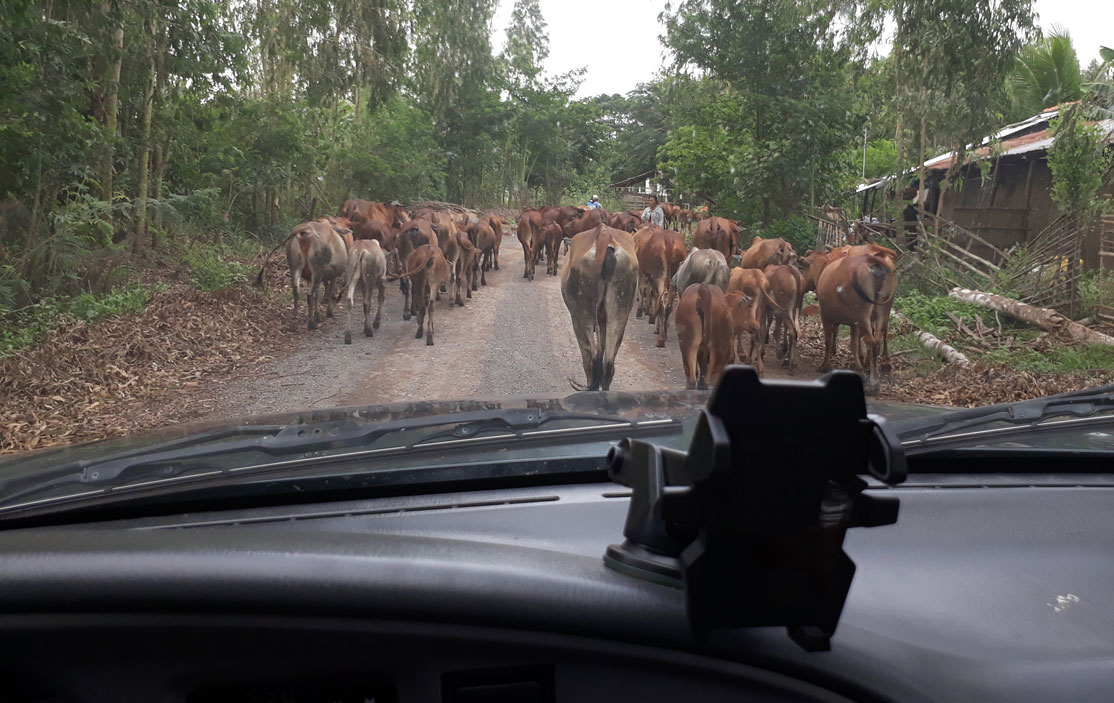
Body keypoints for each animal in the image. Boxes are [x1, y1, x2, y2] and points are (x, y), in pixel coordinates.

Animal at [815, 254, 900, 396]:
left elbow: (828, 341)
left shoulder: (826, 316)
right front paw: (859, 367)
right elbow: (854, 344)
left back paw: (873, 381)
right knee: (877, 339)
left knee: (871, 340)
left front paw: (825, 366)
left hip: (862, 311)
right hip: (883, 308)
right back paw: (875, 379)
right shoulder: (853, 323)